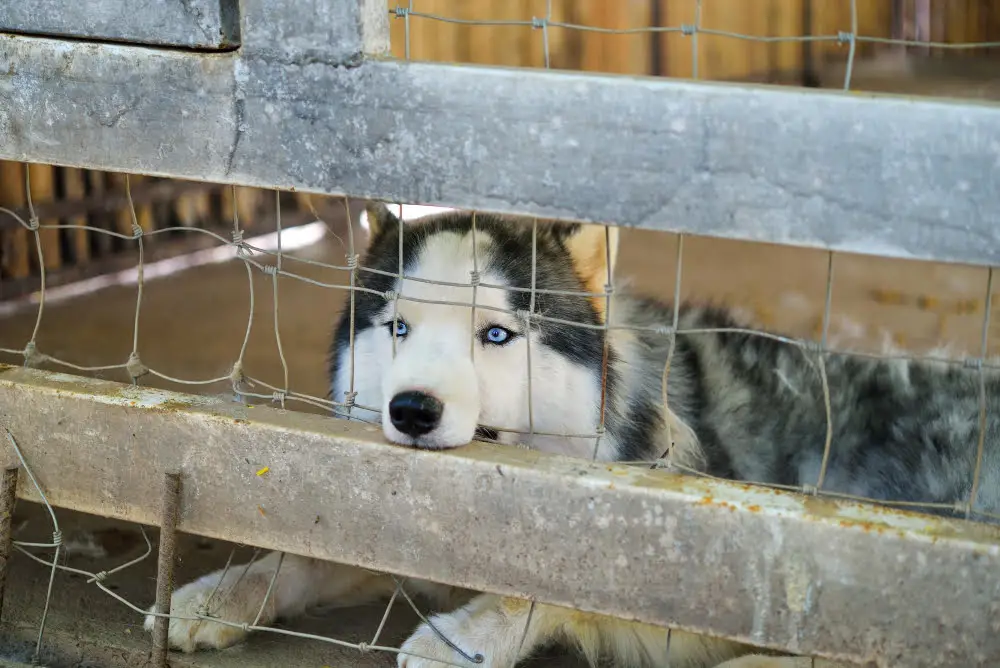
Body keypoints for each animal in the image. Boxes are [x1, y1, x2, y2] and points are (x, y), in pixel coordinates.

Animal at [146, 205, 1000, 668]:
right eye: (398, 328)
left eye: (496, 335)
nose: (413, 410)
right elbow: (301, 551)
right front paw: (220, 592)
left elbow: (548, 582)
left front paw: (458, 638)